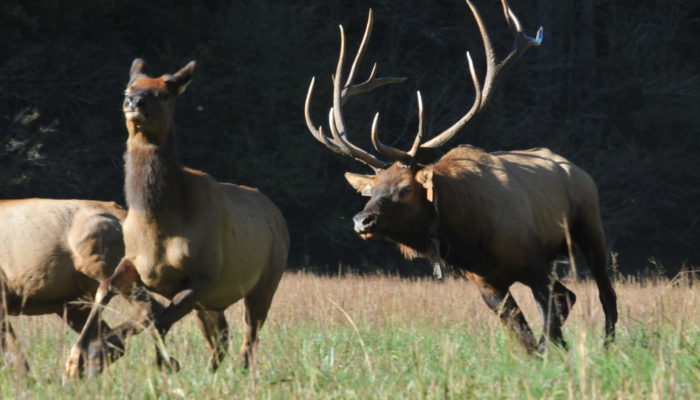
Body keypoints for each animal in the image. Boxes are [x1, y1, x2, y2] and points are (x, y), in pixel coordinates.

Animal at [63, 57, 288, 376]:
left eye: (164, 93)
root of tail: (277, 214)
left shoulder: (204, 274)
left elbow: (157, 320)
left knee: (248, 339)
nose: (134, 102)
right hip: (211, 303)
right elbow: (108, 290)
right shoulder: (135, 262)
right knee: (221, 340)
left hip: (266, 279)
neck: (159, 224)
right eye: (127, 89)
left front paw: (154, 362)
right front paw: (77, 359)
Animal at [306, 0, 616, 350]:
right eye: (371, 190)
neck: (469, 236)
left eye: (405, 188)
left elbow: (548, 323)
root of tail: (578, 170)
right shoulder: (485, 282)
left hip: (590, 227)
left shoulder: (534, 262)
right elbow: (524, 336)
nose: (362, 220)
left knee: (605, 294)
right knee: (570, 297)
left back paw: (607, 345)